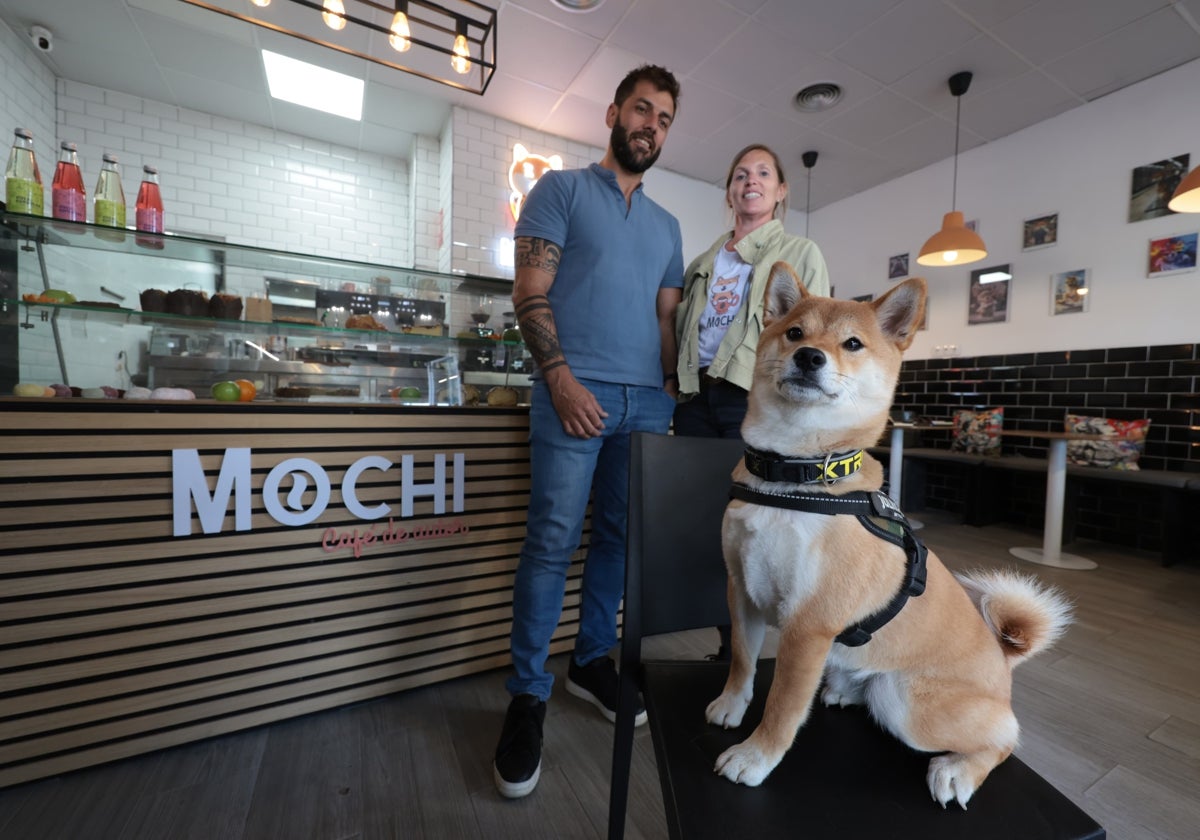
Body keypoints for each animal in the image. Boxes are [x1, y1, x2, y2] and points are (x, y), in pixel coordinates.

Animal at [705, 262, 1075, 806]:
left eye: (853, 344)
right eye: (794, 332)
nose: (809, 356)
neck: (797, 474)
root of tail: (1003, 659)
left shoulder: (810, 625)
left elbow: (782, 706)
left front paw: (756, 757)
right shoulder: (740, 589)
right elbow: (741, 660)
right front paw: (731, 705)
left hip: (907, 703)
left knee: (1006, 738)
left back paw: (958, 771)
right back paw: (844, 689)